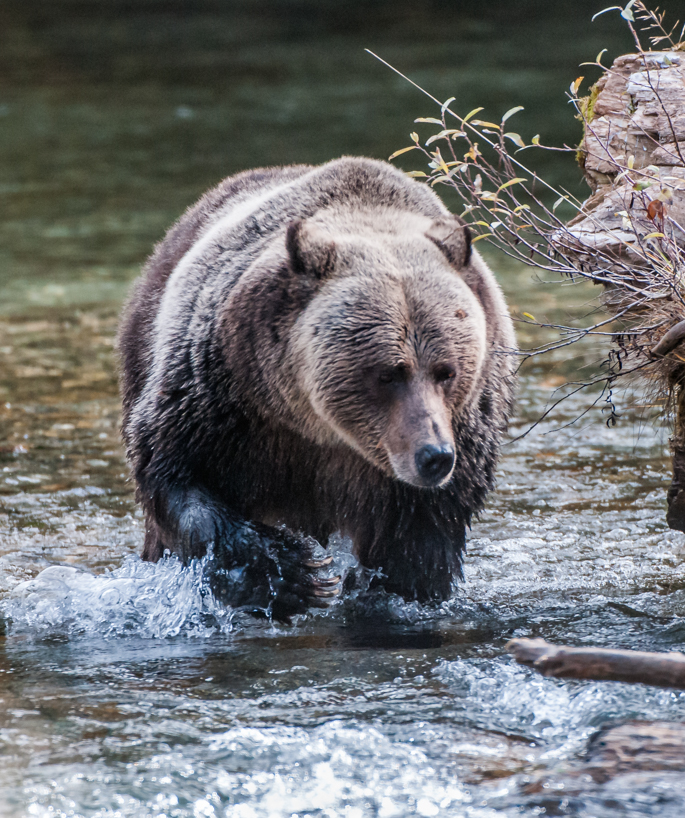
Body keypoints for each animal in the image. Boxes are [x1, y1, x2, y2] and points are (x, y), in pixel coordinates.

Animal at [117, 157, 517, 621]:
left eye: (446, 371)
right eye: (389, 373)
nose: (434, 456)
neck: (318, 430)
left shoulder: (462, 439)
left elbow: (418, 545)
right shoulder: (218, 398)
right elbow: (175, 474)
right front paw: (295, 574)